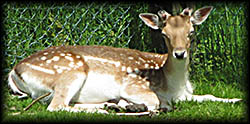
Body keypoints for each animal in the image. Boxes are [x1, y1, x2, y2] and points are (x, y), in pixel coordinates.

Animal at [8, 5, 242, 114]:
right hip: (70, 71)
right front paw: (131, 103)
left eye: (191, 32)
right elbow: (158, 101)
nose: (179, 53)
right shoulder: (132, 85)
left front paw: (236, 100)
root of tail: (13, 71)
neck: (173, 84)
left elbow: (209, 95)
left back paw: (110, 106)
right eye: (164, 33)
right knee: (56, 106)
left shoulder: (186, 94)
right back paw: (115, 107)